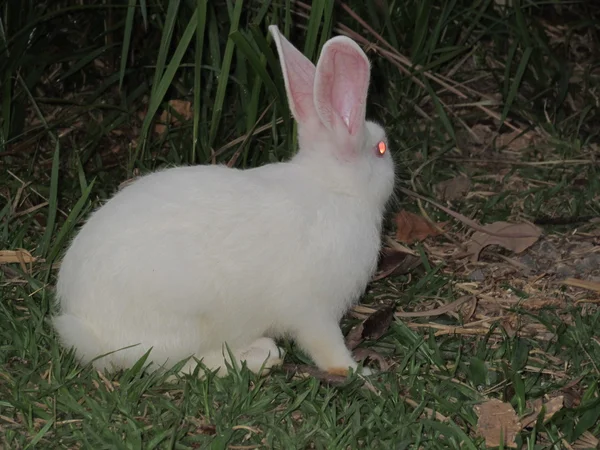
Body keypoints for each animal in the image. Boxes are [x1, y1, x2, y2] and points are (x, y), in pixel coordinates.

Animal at [54, 26, 396, 378]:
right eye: (381, 149)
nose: (392, 161)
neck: (335, 189)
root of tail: (87, 328)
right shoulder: (315, 312)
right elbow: (328, 348)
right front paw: (358, 372)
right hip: (182, 324)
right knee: (177, 366)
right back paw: (259, 355)